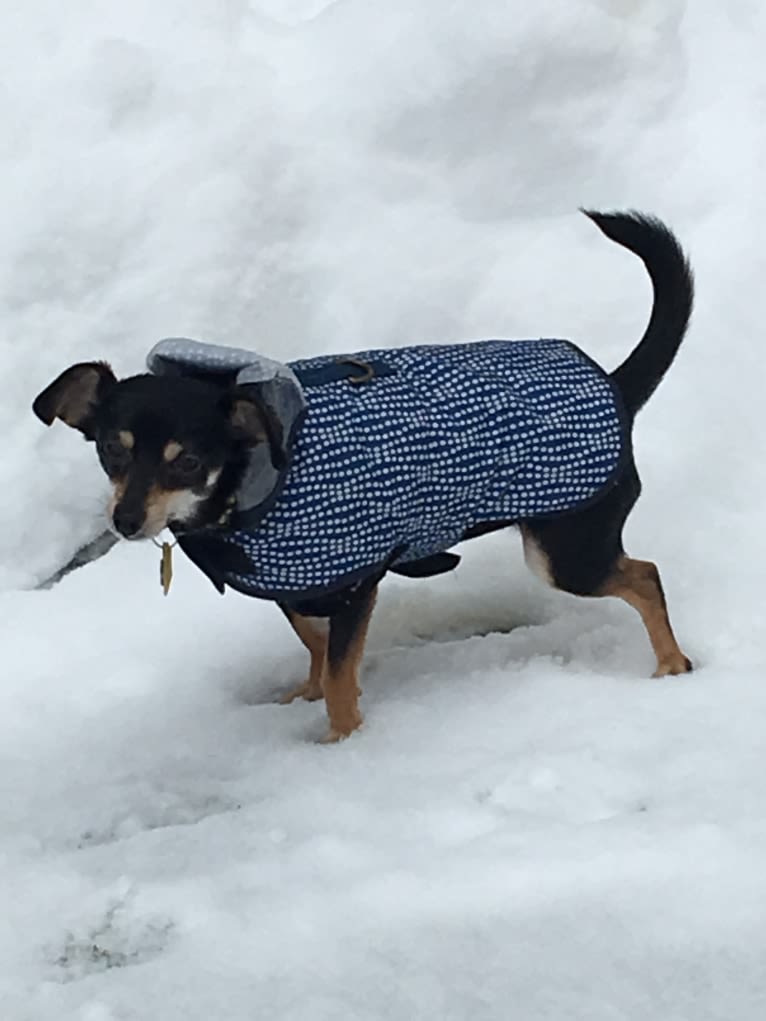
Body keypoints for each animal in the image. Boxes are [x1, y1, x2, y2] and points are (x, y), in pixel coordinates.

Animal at [34, 213, 694, 743]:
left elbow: (338, 670)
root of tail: (615, 385)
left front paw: (343, 741)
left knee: (646, 576)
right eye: (110, 452)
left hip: (565, 552)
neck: (252, 486)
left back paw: (672, 663)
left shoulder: (356, 581)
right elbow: (319, 648)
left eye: (188, 461)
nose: (124, 520)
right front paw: (311, 695)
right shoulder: (301, 583)